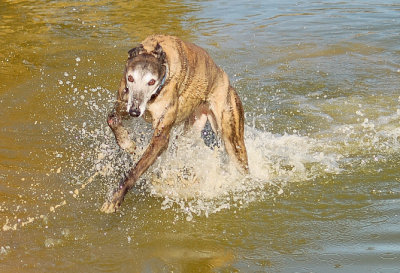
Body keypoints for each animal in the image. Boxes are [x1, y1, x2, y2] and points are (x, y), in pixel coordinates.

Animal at [101, 34, 247, 212]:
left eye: (151, 81)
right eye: (130, 78)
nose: (135, 111)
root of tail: (225, 80)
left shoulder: (161, 134)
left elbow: (137, 168)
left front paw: (115, 198)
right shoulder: (124, 104)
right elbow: (112, 119)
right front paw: (128, 143)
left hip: (232, 136)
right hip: (190, 130)